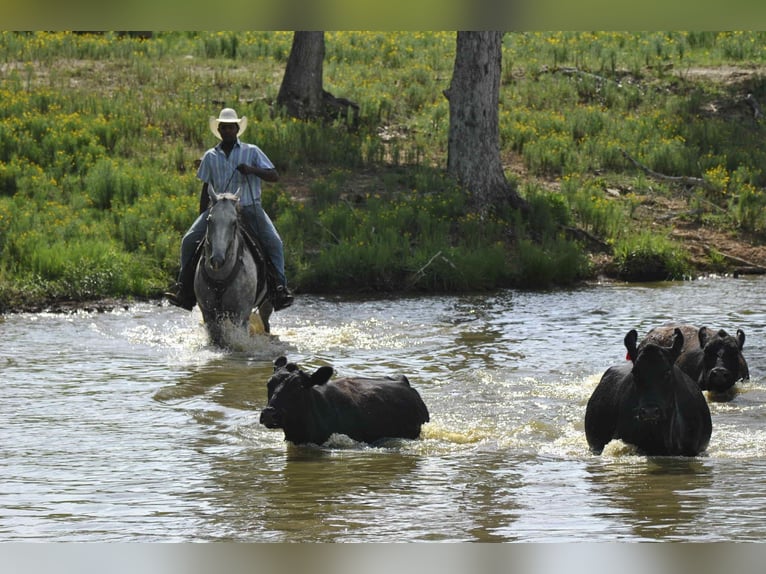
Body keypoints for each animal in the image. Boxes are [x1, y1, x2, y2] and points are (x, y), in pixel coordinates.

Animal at [194, 187, 273, 346]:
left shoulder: (240, 315)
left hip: (266, 305)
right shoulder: (208, 313)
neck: (219, 278)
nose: (217, 259)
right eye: (209, 220)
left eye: (234, 222)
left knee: (266, 323)